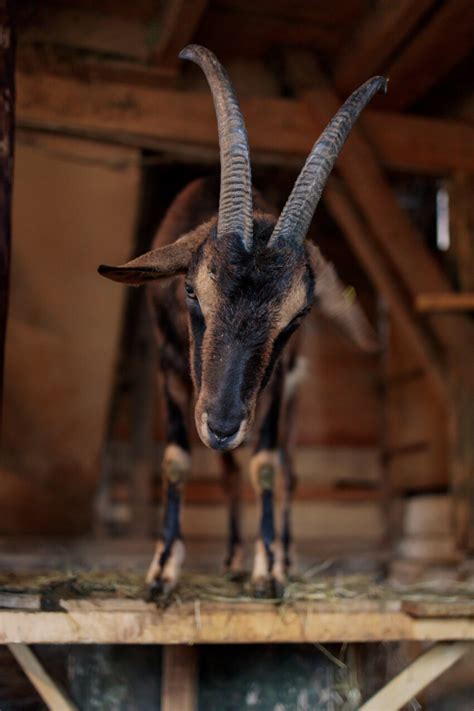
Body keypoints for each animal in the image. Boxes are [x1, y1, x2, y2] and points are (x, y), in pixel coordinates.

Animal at [100, 46, 386, 596]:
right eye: (191, 290)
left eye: (299, 315)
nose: (224, 424)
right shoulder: (171, 372)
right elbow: (178, 461)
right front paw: (162, 570)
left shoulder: (270, 392)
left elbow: (267, 468)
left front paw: (269, 568)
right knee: (230, 472)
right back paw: (231, 556)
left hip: (289, 399)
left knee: (288, 469)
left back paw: (283, 555)